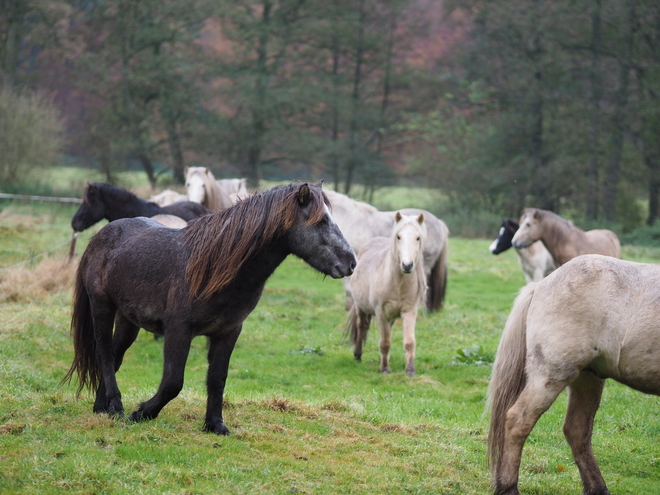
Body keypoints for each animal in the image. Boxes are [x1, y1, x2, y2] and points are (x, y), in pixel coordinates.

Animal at [346, 211, 428, 378]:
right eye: (399, 237)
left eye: (418, 238)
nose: (407, 265)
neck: (397, 283)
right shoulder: (381, 312)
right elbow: (384, 342)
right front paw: (384, 369)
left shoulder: (409, 311)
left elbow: (409, 342)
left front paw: (410, 370)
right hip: (360, 307)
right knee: (361, 326)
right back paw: (358, 355)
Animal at [488, 256, 660, 495]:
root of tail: (540, 285)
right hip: (552, 375)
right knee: (518, 420)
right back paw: (508, 487)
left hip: (587, 378)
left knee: (577, 431)